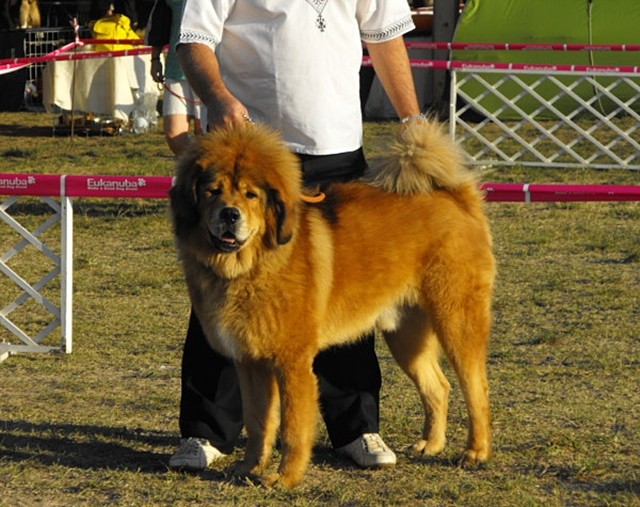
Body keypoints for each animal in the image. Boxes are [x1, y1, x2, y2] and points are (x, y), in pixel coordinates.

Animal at [170, 121, 495, 488]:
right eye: (212, 191)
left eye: (251, 195)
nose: (229, 214)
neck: (252, 266)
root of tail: (455, 197)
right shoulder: (249, 363)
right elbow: (258, 423)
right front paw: (250, 468)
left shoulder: (292, 363)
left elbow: (293, 427)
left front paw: (285, 477)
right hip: (405, 336)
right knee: (438, 387)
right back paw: (431, 444)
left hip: (456, 321)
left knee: (476, 389)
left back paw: (475, 451)